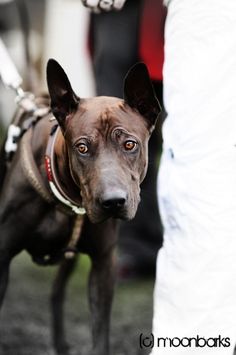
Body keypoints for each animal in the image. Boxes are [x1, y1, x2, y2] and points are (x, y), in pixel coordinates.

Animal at [0, 59, 160, 354]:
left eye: (129, 144)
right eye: (82, 147)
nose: (113, 202)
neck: (67, 198)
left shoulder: (103, 264)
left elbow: (100, 334)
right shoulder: (2, 256)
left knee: (57, 291)